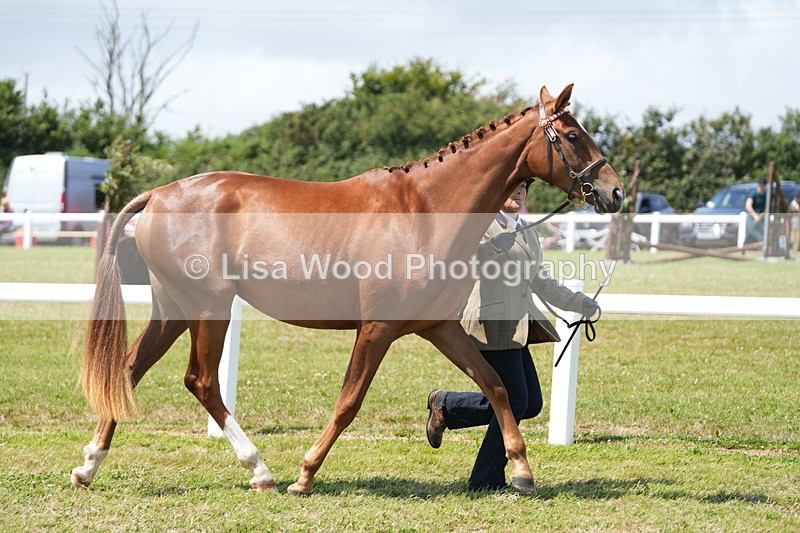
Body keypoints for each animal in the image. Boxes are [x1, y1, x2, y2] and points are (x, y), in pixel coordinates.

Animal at [70, 84, 624, 495]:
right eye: (572, 135)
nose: (614, 191)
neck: (423, 211)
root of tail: (158, 194)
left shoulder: (440, 328)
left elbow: (496, 384)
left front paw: (522, 472)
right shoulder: (376, 329)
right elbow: (349, 401)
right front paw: (305, 474)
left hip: (173, 310)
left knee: (128, 370)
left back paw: (89, 466)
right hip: (209, 308)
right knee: (201, 382)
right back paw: (260, 470)